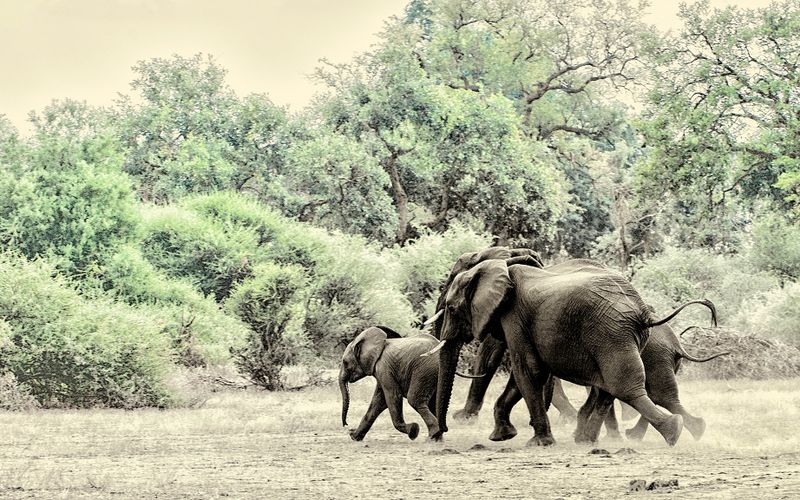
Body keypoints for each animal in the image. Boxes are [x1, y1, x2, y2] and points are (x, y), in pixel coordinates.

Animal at [339, 326, 482, 441]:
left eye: (345, 363)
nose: (346, 425)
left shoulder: (384, 368)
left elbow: (392, 397)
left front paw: (413, 431)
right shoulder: (382, 371)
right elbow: (379, 402)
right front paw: (354, 437)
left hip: (424, 370)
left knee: (414, 400)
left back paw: (432, 436)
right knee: (432, 402)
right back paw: (437, 438)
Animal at [430, 257, 713, 446]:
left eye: (452, 309)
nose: (439, 434)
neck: (498, 267)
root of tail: (644, 312)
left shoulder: (514, 316)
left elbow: (527, 370)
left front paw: (539, 443)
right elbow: (525, 375)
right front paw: (502, 436)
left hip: (611, 334)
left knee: (628, 388)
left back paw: (672, 431)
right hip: (622, 338)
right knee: (613, 389)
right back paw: (587, 440)